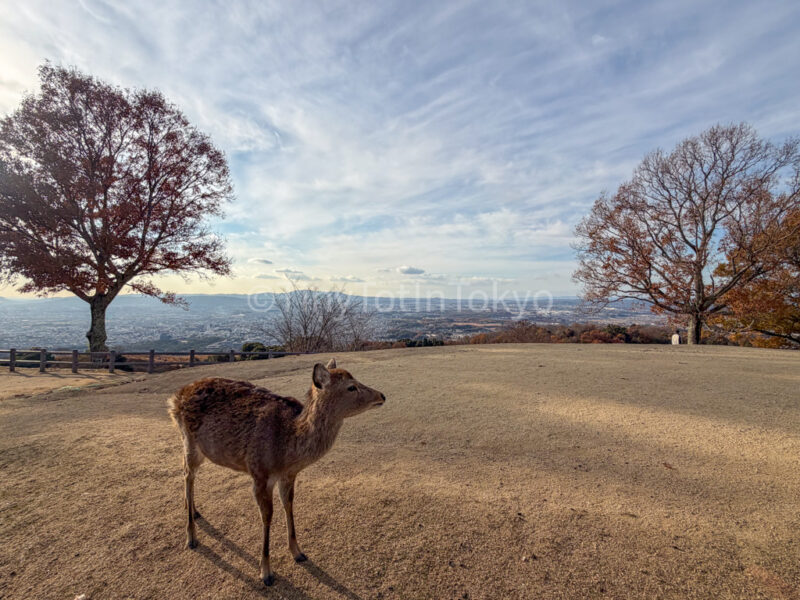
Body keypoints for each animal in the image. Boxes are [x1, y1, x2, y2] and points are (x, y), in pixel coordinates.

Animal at [167, 358, 386, 586]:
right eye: (351, 387)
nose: (382, 396)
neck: (287, 447)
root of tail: (175, 397)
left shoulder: (288, 475)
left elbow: (288, 505)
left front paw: (298, 552)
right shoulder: (259, 474)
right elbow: (267, 516)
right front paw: (266, 572)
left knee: (185, 470)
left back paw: (194, 510)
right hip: (190, 441)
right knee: (187, 474)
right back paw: (191, 537)